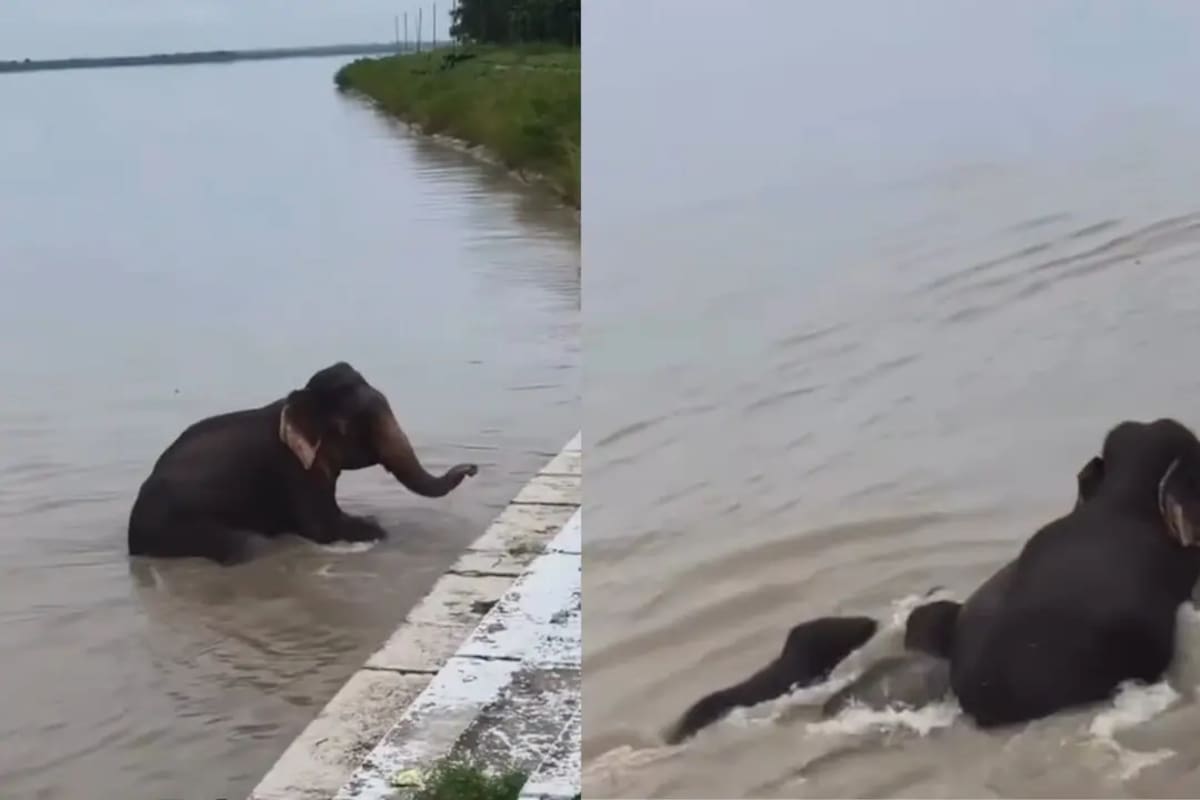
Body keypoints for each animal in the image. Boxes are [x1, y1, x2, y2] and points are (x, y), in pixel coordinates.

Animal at [127, 362, 478, 565]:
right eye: (353, 425)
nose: (472, 468)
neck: (299, 401)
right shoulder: (291, 469)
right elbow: (323, 528)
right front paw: (372, 526)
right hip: (175, 525)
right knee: (247, 545)